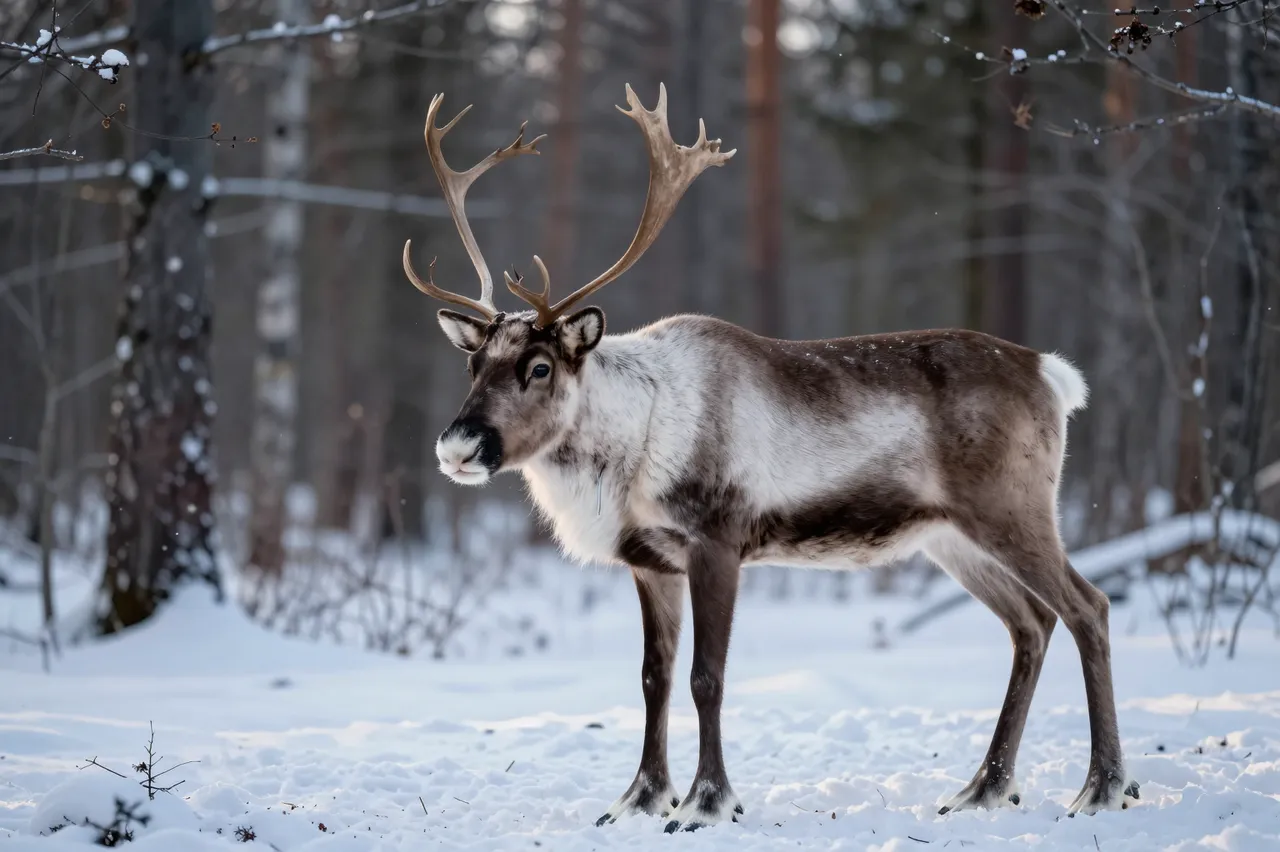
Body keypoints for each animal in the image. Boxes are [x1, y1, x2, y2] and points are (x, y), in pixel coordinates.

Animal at [402, 84, 1139, 833]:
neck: (631, 446)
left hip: (1012, 509)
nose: (458, 447)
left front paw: (706, 801)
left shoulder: (718, 540)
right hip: (950, 537)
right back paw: (984, 787)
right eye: (474, 364)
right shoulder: (650, 561)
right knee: (1031, 624)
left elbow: (707, 677)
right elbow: (653, 678)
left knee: (1089, 607)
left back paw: (1101, 786)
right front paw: (639, 797)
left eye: (540, 367)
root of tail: (1051, 375)